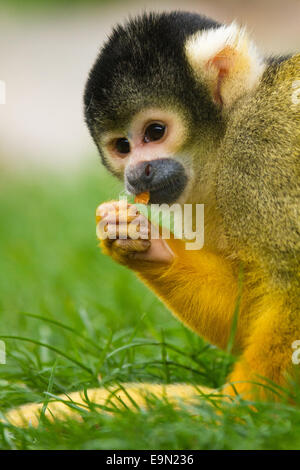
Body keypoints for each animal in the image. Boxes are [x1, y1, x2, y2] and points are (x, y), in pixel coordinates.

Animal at [5, 12, 300, 428]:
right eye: (122, 146)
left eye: (155, 132)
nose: (136, 175)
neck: (225, 137)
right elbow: (247, 314)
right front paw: (140, 241)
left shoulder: (258, 153)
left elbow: (290, 285)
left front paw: (238, 409)